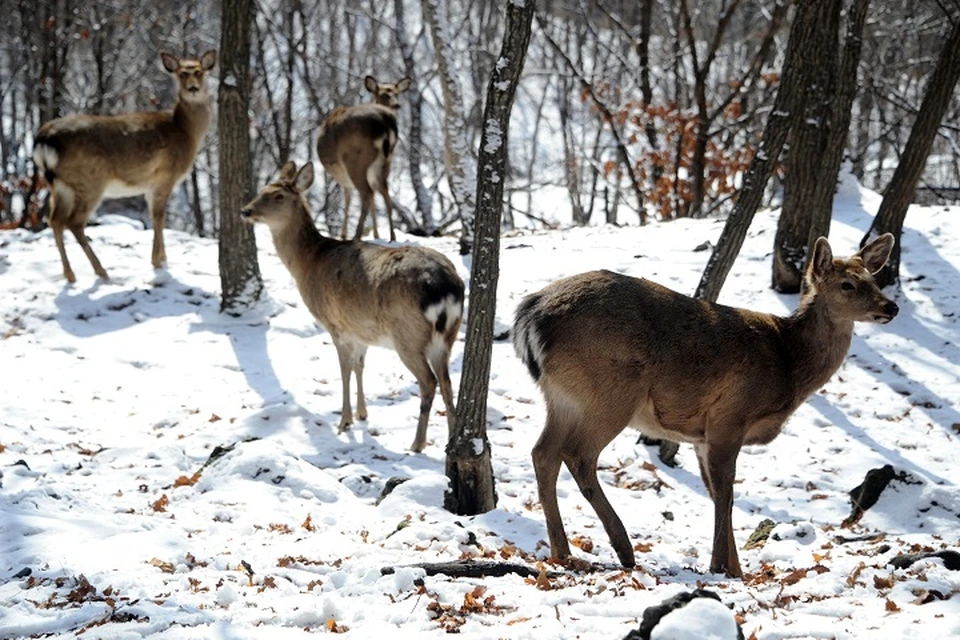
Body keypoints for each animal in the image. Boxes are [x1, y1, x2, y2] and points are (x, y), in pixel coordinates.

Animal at [32, 48, 218, 282]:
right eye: (181, 74)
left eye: (200, 72)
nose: (193, 88)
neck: (185, 132)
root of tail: (43, 140)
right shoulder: (165, 176)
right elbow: (159, 216)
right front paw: (157, 261)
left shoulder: (150, 186)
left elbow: (156, 216)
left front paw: (163, 258)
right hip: (90, 181)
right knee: (74, 222)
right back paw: (101, 271)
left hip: (60, 184)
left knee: (55, 220)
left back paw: (70, 275)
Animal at [242, 160, 464, 452]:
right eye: (262, 190)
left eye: (278, 196)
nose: (246, 210)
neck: (308, 263)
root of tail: (445, 288)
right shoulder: (361, 329)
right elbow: (359, 366)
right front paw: (362, 414)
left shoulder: (336, 325)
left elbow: (344, 370)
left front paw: (344, 421)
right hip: (447, 336)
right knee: (448, 382)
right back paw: (452, 442)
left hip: (408, 334)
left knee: (429, 382)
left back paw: (417, 444)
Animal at [316, 75, 410, 244]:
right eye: (385, 94)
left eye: (395, 94)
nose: (397, 105)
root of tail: (385, 122)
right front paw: (377, 235)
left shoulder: (344, 178)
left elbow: (347, 199)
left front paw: (344, 235)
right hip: (386, 162)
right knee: (385, 195)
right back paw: (392, 237)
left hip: (355, 158)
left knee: (367, 193)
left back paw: (356, 236)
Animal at [512, 235, 896, 580]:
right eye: (847, 284)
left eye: (873, 279)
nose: (890, 307)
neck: (787, 362)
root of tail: (531, 316)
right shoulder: (731, 415)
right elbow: (726, 492)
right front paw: (722, 568)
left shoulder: (700, 436)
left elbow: (714, 492)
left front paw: (734, 566)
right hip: (610, 391)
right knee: (578, 454)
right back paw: (623, 548)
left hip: (563, 397)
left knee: (543, 452)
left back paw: (562, 551)